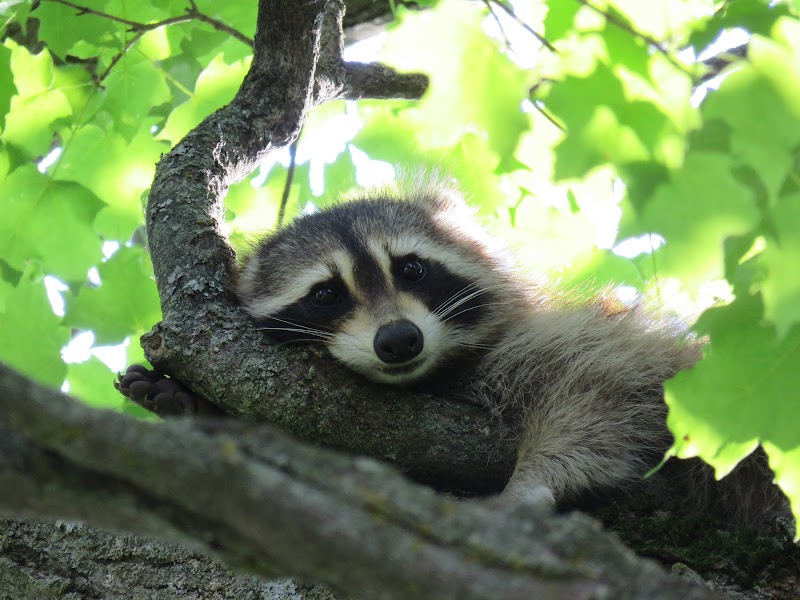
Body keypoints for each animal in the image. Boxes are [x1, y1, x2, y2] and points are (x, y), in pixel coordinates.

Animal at [236, 183, 777, 517]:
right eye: (327, 294)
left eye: (411, 269)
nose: (398, 339)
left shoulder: (561, 337)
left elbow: (601, 384)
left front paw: (531, 483)